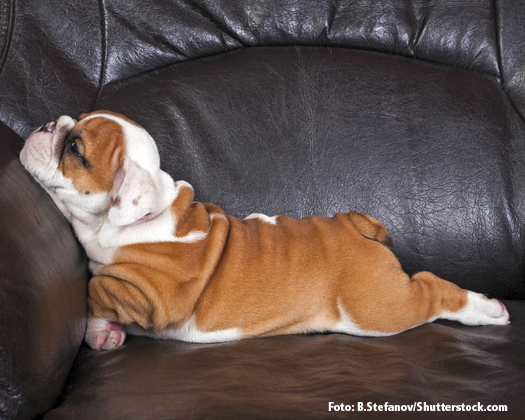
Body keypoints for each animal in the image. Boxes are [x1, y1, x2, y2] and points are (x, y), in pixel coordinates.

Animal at [19, 110, 508, 350]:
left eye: (75, 149)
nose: (48, 124)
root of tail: (354, 224)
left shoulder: (151, 295)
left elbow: (95, 289)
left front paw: (99, 330)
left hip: (375, 308)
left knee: (430, 290)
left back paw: (487, 309)